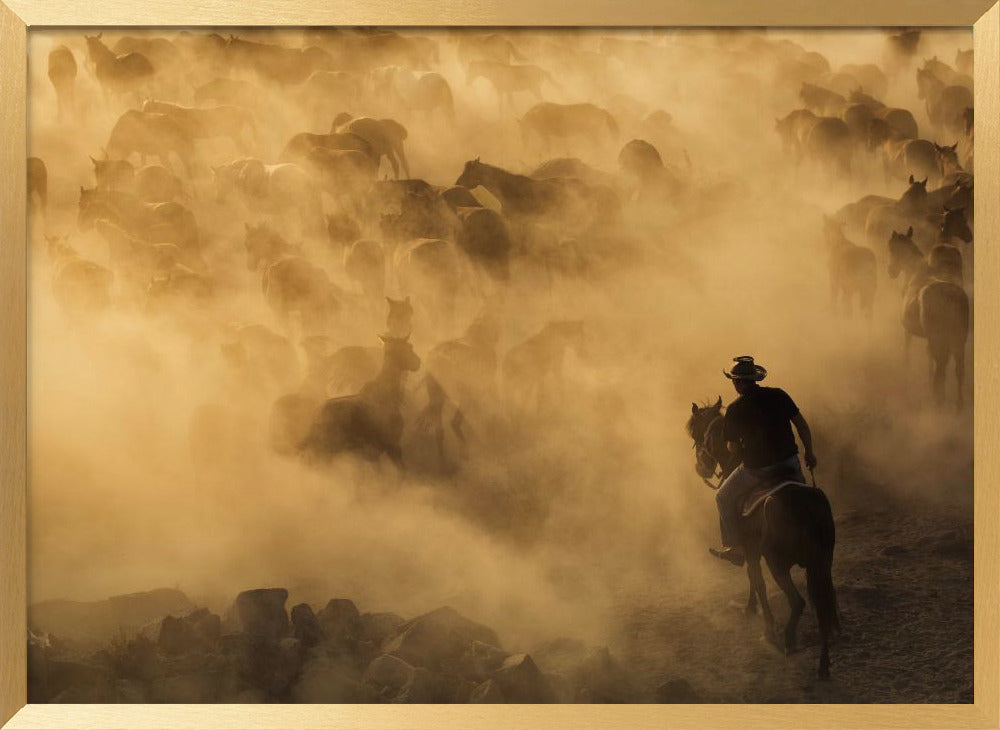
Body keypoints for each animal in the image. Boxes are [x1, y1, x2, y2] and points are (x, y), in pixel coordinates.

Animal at [684, 398, 840, 676]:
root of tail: (805, 505)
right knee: (822, 604)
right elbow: (752, 578)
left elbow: (757, 582)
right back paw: (823, 663)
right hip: (821, 564)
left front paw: (766, 626)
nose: (700, 468)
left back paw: (788, 640)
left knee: (799, 602)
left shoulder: (751, 551)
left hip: (778, 563)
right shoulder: (754, 552)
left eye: (697, 435)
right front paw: (751, 608)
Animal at [892, 226, 968, 406]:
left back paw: (937, 400)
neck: (914, 273)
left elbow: (907, 356)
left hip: (941, 340)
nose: (891, 271)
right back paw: (958, 404)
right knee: (958, 370)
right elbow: (928, 359)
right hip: (958, 339)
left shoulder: (909, 331)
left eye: (892, 249)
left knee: (941, 370)